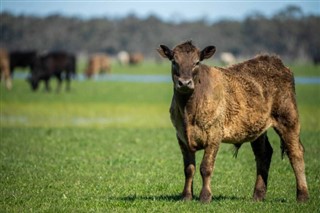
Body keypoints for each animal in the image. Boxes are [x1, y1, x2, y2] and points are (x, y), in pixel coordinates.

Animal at [157, 41, 308, 203]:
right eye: (174, 61)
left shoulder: (214, 134)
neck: (188, 111)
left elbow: (206, 167)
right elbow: (189, 169)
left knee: (295, 153)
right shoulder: (181, 136)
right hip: (257, 128)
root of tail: (275, 61)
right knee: (264, 154)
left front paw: (205, 197)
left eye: (196, 62)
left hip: (288, 118)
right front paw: (186, 196)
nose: (184, 83)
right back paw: (258, 195)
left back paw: (302, 196)